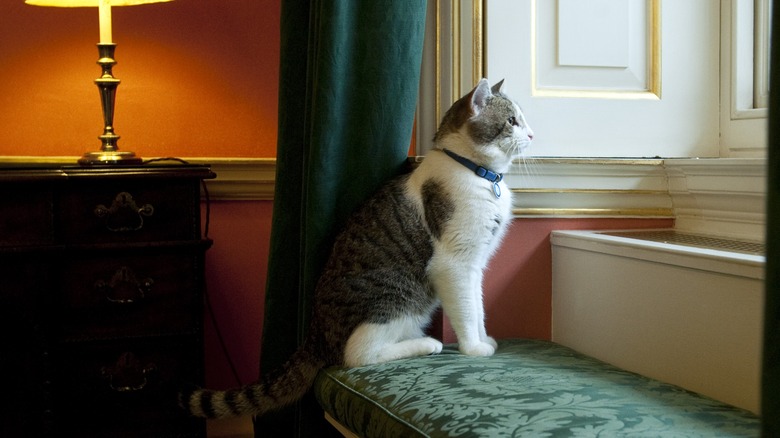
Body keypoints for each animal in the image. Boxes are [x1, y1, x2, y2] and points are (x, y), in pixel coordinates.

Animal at [180, 78, 532, 418]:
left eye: (522, 119)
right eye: (511, 121)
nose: (531, 133)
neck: (477, 173)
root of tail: (314, 336)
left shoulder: (476, 264)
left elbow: (478, 307)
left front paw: (484, 337)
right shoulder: (455, 263)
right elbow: (466, 310)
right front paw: (474, 348)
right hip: (398, 299)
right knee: (357, 355)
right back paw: (426, 344)